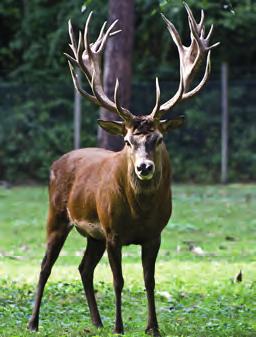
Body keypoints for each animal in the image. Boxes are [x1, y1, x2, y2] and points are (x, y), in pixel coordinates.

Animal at [28, 3, 220, 336]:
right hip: (57, 215)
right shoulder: (113, 232)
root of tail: (58, 161)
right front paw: (120, 326)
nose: (144, 167)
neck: (139, 212)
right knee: (45, 265)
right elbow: (118, 281)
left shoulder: (155, 234)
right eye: (129, 141)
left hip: (93, 235)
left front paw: (153, 327)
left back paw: (96, 320)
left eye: (158, 138)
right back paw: (34, 322)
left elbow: (150, 281)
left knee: (84, 267)